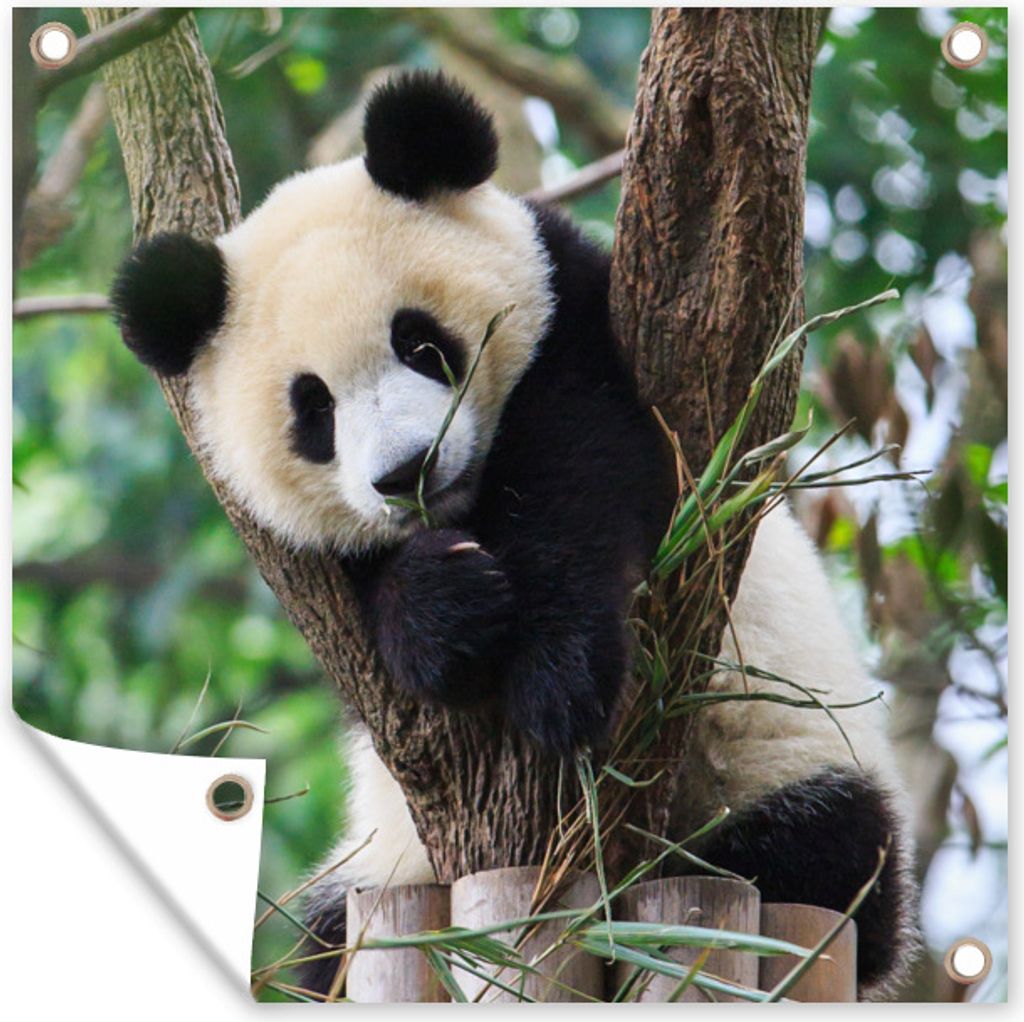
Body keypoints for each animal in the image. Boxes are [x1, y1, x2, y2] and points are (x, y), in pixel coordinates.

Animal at [111, 71, 916, 999]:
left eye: (421, 342)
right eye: (313, 409)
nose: (408, 472)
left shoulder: (578, 322)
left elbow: (587, 469)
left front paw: (557, 677)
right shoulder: (305, 561)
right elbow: (360, 608)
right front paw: (443, 610)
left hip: (783, 758)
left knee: (811, 854)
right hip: (377, 871)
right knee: (322, 943)